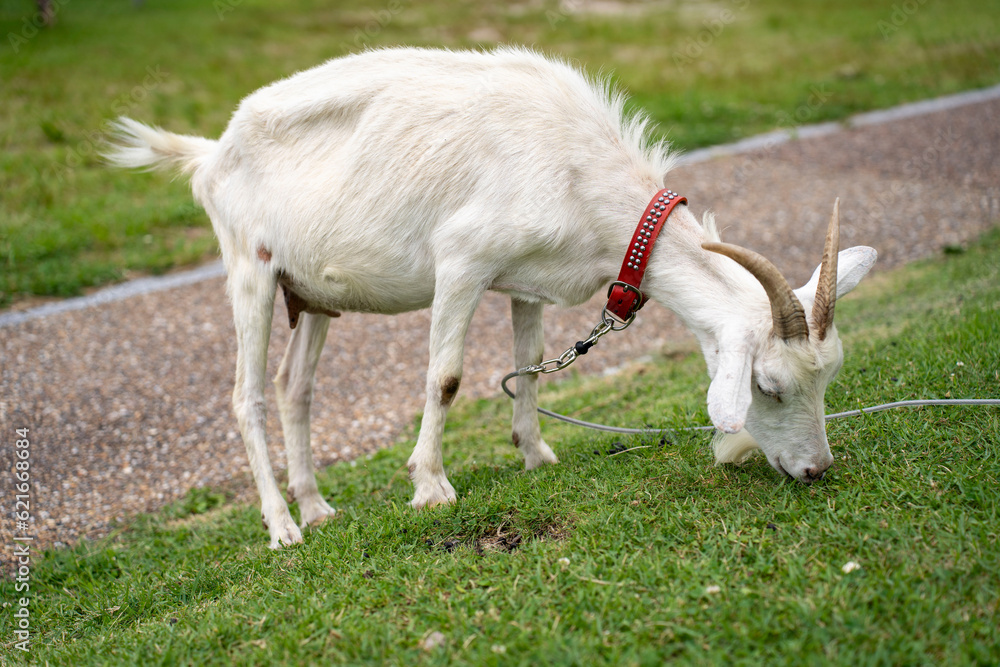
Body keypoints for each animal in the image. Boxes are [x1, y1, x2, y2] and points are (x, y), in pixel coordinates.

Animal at [105, 47, 876, 548]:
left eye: (829, 377)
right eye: (768, 386)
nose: (816, 470)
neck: (576, 169)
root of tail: (210, 153)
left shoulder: (525, 280)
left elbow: (529, 364)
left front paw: (535, 454)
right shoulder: (462, 262)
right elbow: (445, 377)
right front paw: (429, 487)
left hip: (310, 295)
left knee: (296, 387)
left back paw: (318, 506)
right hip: (252, 271)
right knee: (247, 397)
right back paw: (284, 527)